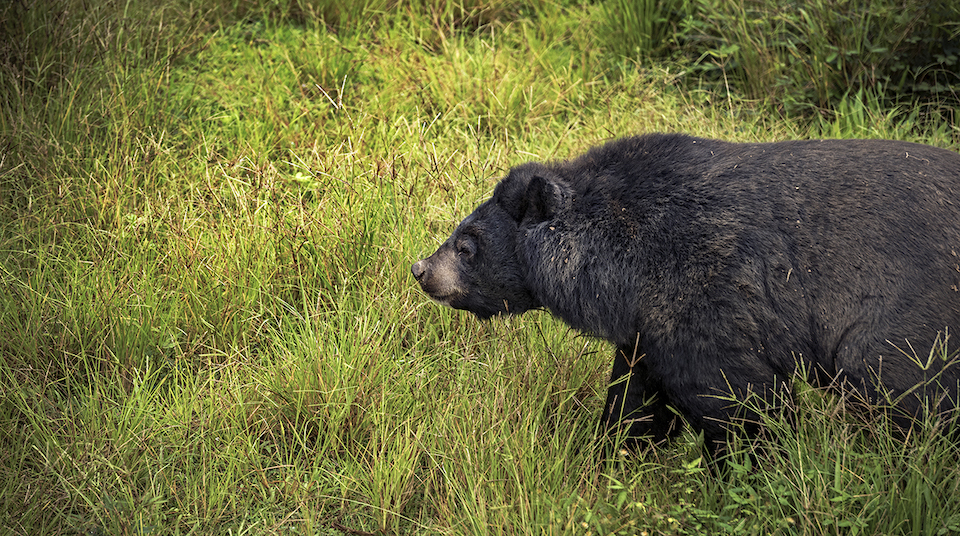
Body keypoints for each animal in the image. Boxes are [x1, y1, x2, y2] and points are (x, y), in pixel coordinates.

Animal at [411, 133, 960, 452]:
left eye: (467, 244)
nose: (420, 269)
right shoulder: (647, 328)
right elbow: (633, 399)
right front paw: (613, 453)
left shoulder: (706, 293)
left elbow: (738, 400)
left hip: (901, 324)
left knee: (899, 391)